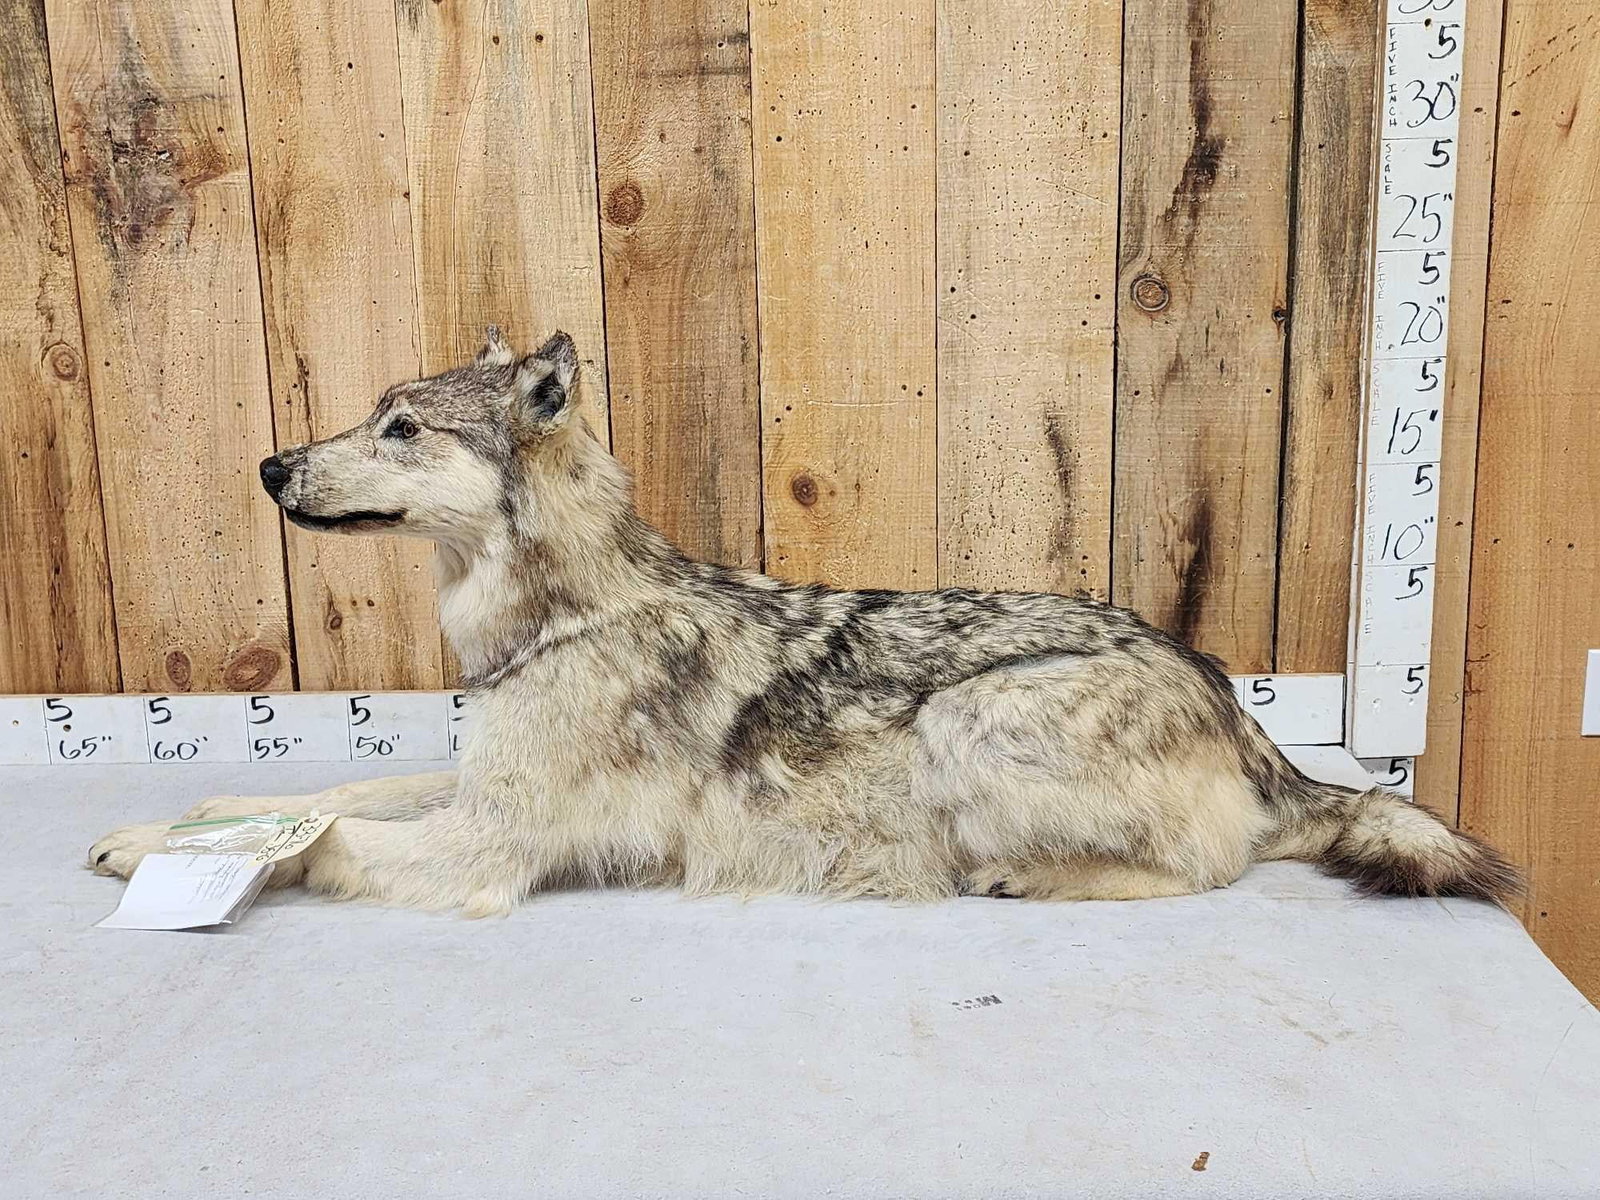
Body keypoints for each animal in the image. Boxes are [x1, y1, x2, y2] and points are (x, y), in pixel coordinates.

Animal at [88, 328, 1520, 915]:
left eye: (399, 427)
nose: (271, 466)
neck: (562, 620)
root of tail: (1234, 701)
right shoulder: (465, 788)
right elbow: (327, 794)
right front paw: (177, 824)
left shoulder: (482, 851)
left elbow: (324, 837)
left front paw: (177, 850)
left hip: (966, 724)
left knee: (1215, 866)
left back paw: (1028, 876)